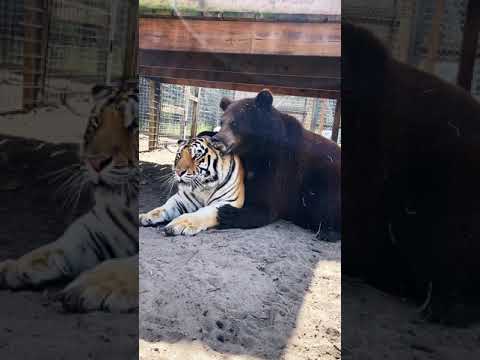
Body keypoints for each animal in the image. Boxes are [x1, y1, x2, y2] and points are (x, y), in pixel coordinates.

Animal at [0, 83, 139, 312]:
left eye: (135, 125)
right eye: (96, 122)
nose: (95, 162)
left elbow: (131, 263)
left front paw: (95, 284)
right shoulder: (104, 226)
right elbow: (61, 245)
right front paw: (14, 266)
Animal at [211, 89, 342, 242]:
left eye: (235, 123)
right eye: (221, 122)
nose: (216, 140)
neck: (255, 150)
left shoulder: (280, 164)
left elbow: (266, 204)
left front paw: (226, 212)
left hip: (327, 177)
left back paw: (327, 232)